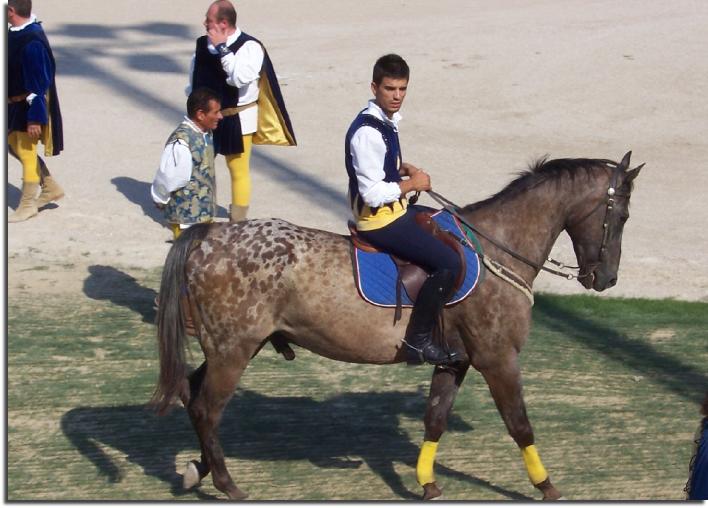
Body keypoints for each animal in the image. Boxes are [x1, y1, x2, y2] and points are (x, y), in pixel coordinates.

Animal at [152, 151, 644, 500]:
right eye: (620, 216)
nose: (607, 279)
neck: (494, 249)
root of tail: (209, 235)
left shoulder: (455, 361)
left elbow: (435, 419)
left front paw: (427, 482)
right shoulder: (497, 359)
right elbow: (520, 423)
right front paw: (546, 485)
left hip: (233, 347)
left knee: (193, 394)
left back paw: (199, 469)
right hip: (233, 351)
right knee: (206, 407)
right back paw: (227, 484)